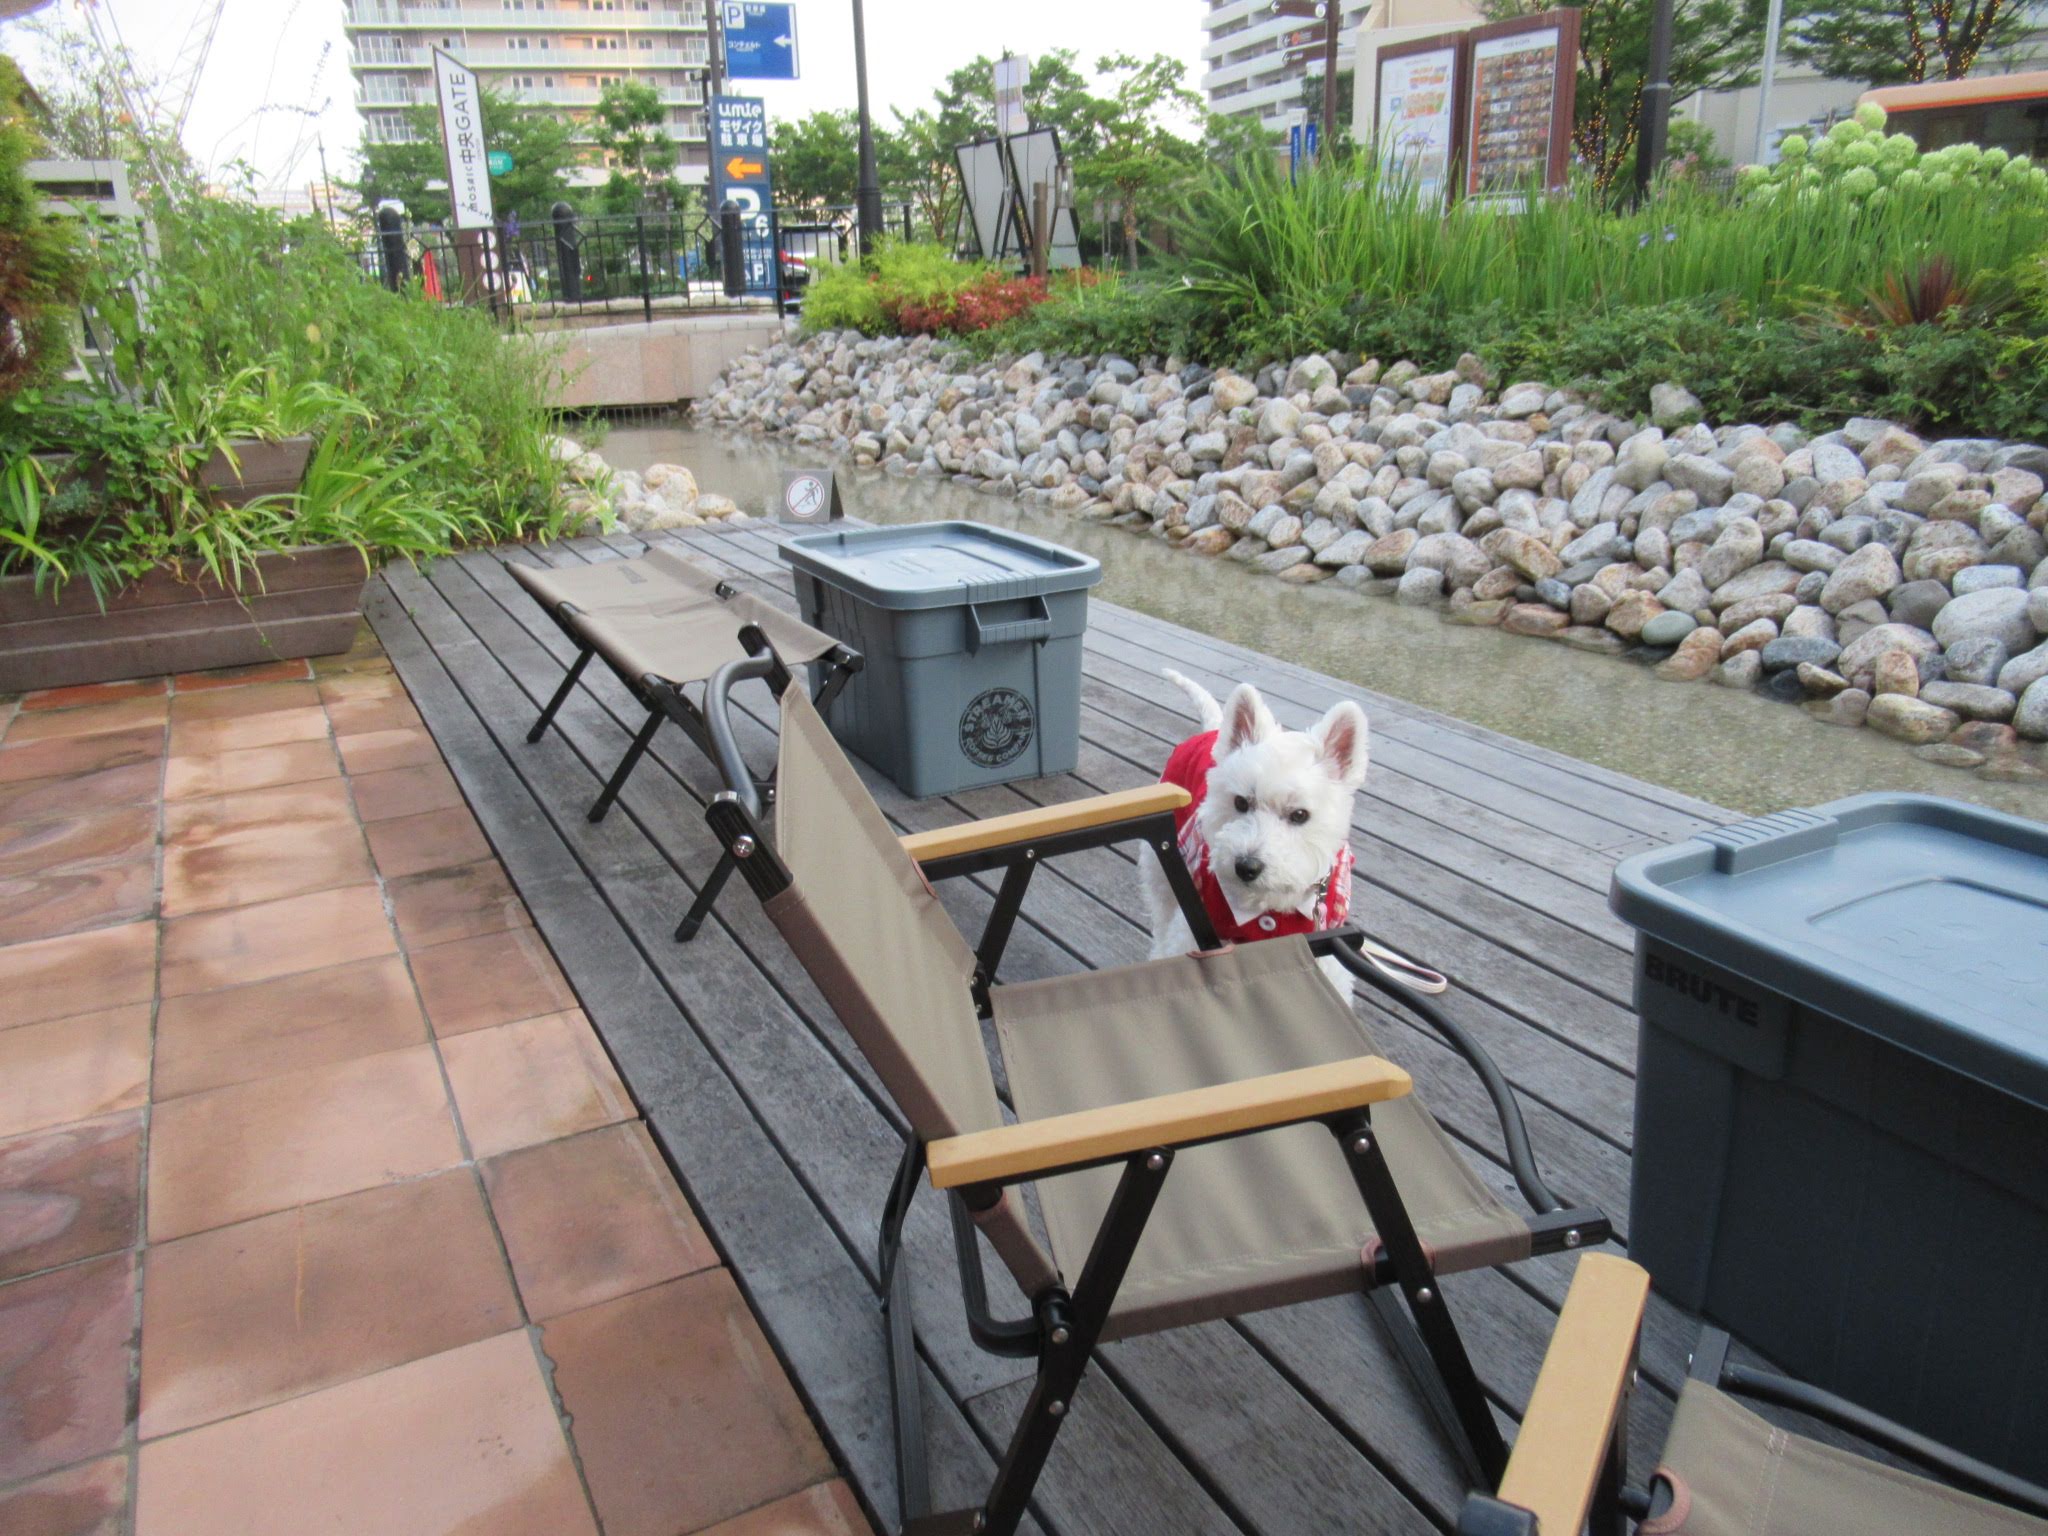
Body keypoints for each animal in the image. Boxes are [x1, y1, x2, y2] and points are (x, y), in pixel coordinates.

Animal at [1146, 671, 1368, 987]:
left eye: (1300, 815)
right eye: (1241, 802)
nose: (1246, 867)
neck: (1268, 906)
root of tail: (1214, 729)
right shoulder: (1193, 934)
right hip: (1161, 875)